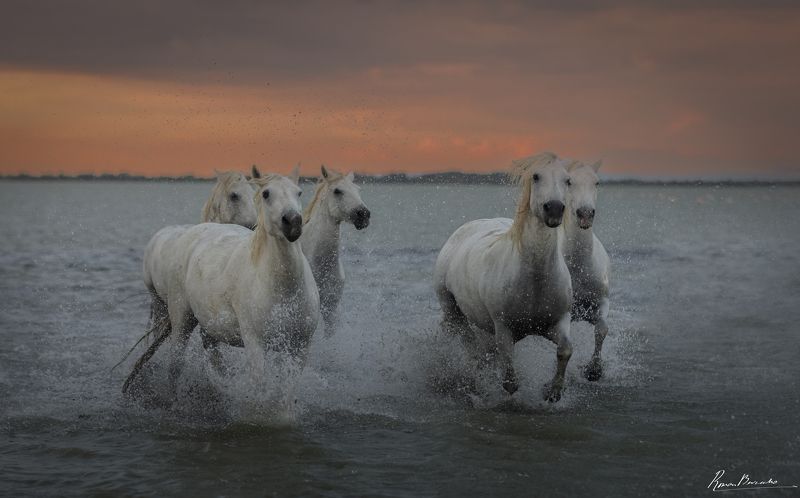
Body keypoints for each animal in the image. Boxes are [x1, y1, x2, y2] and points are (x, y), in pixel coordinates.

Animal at [123, 168, 319, 396]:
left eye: (299, 192)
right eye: (266, 194)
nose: (293, 222)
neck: (283, 290)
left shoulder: (300, 347)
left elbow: (286, 392)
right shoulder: (255, 344)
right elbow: (260, 388)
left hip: (208, 327)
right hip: (180, 319)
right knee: (175, 366)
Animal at [433, 152, 574, 402]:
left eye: (568, 180)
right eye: (536, 176)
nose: (555, 209)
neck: (534, 280)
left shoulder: (557, 321)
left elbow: (565, 350)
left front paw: (552, 391)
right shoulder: (503, 328)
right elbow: (509, 378)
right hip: (452, 311)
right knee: (471, 347)